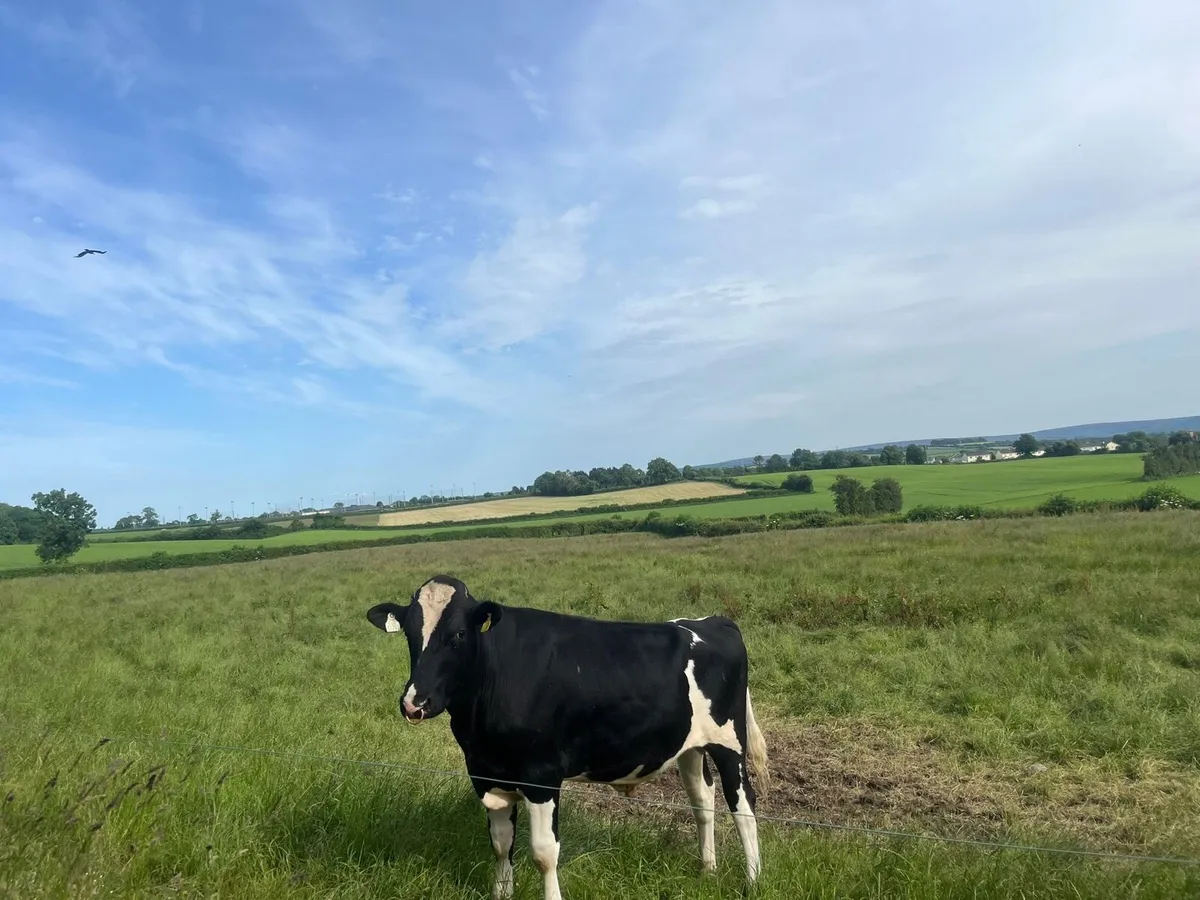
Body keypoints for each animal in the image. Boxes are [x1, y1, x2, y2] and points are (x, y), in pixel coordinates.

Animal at [365, 574, 769, 900]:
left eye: (459, 635)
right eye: (409, 633)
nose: (415, 702)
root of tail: (710, 621)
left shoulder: (541, 776)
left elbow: (544, 853)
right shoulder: (485, 773)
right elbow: (501, 845)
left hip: (730, 742)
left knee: (743, 806)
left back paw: (752, 881)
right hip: (689, 746)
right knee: (703, 799)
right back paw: (707, 870)